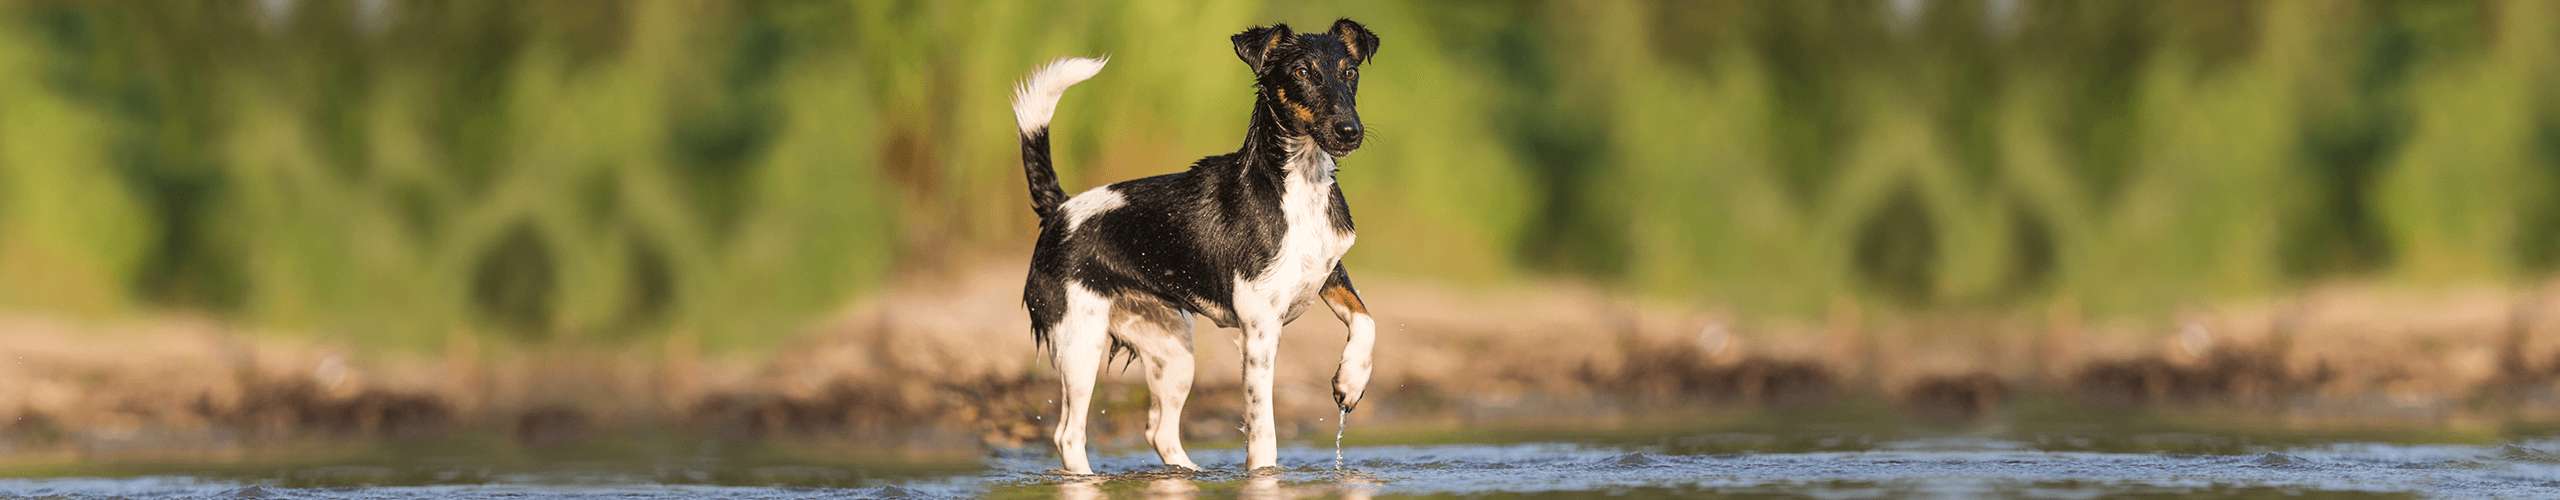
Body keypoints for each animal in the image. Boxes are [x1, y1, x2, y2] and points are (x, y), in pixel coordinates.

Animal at [1013, 19, 1392, 471]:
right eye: (1302, 72)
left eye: (1350, 72)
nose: (1350, 131)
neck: (1300, 183)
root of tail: (1060, 208)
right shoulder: (1259, 325)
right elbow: (1262, 430)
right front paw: (1262, 475)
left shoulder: (1329, 272)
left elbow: (1366, 320)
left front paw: (1351, 381)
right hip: (1080, 343)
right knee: (1068, 435)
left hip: (1173, 352)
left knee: (1159, 431)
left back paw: (1192, 473)